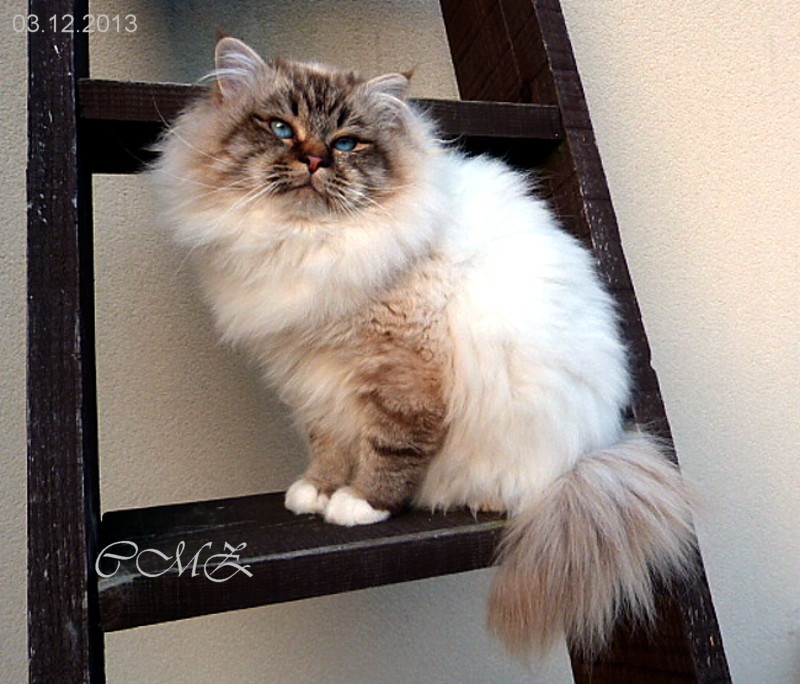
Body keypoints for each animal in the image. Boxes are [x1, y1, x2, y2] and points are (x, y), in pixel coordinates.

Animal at [155, 36, 692, 656]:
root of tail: (600, 449)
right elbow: (329, 447)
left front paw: (359, 504)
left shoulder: (399, 371)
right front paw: (316, 492)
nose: (314, 159)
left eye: (347, 143)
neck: (307, 245)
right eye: (282, 129)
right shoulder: (314, 376)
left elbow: (389, 449)